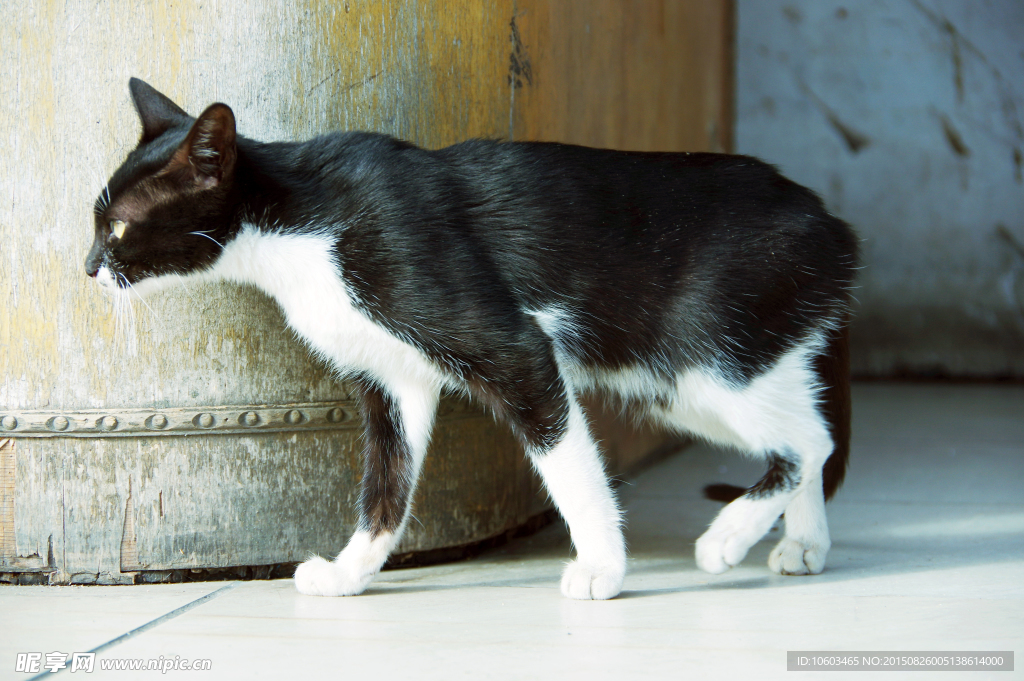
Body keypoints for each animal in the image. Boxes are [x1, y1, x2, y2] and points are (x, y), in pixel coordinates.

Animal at [86, 78, 856, 602]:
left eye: (117, 227)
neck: (299, 226)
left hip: (698, 357)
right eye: (96, 222)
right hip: (711, 371)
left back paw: (728, 537)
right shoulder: (393, 382)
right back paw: (804, 544)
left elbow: (568, 466)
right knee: (809, 429)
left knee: (805, 442)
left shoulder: (510, 345)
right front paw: (350, 572)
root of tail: (832, 224)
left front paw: (602, 569)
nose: (88, 266)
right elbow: (387, 485)